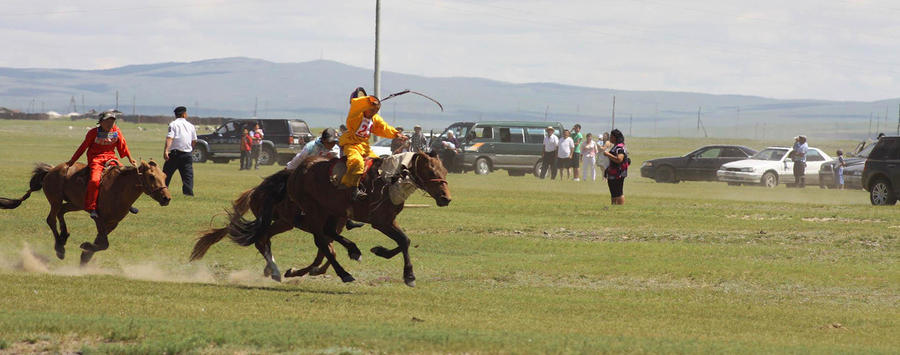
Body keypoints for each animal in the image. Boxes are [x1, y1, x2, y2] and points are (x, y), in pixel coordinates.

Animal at [0, 161, 171, 264]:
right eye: (151, 176)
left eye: (164, 176)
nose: (166, 198)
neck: (118, 189)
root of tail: (51, 170)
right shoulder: (99, 218)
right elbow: (104, 243)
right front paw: (85, 247)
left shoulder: (112, 223)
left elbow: (101, 242)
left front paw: (85, 255)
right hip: (55, 200)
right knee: (51, 219)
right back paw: (60, 248)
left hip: (74, 203)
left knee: (61, 212)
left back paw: (64, 236)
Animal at [188, 168, 364, 282]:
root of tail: (255, 191)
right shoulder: (320, 232)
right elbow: (327, 254)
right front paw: (295, 272)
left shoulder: (328, 234)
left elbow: (326, 255)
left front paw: (306, 271)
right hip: (274, 221)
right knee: (261, 240)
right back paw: (274, 271)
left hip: (283, 223)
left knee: (264, 240)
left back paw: (271, 269)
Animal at [230, 152, 450, 288]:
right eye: (431, 171)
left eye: (445, 171)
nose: (445, 198)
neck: (390, 180)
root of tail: (295, 173)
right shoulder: (381, 222)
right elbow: (403, 240)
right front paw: (409, 276)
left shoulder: (388, 220)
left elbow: (405, 241)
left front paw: (380, 251)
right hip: (313, 212)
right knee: (321, 242)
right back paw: (344, 272)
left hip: (304, 218)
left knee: (270, 239)